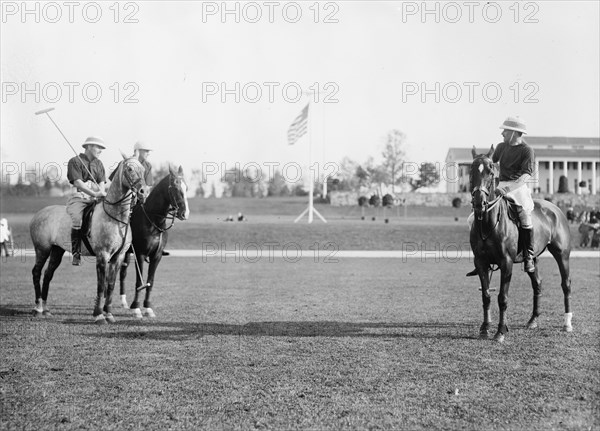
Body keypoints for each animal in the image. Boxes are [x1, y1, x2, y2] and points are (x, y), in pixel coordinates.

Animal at [29, 156, 148, 324]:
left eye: (143, 169)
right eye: (129, 169)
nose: (144, 191)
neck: (116, 218)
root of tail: (37, 214)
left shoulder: (118, 257)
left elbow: (110, 285)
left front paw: (109, 314)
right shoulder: (102, 255)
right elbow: (101, 285)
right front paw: (99, 315)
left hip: (57, 250)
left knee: (47, 274)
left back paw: (46, 309)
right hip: (42, 249)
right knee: (36, 272)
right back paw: (38, 308)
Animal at [118, 167, 189, 318]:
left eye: (187, 188)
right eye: (175, 187)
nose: (185, 214)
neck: (153, 221)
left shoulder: (157, 256)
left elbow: (150, 281)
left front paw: (148, 307)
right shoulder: (140, 254)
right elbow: (140, 281)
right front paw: (136, 308)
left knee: (122, 273)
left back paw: (123, 302)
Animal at [468, 147, 572, 342]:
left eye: (491, 171)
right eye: (471, 171)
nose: (479, 203)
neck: (488, 223)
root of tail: (555, 208)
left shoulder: (506, 262)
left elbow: (502, 297)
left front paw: (501, 331)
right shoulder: (481, 262)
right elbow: (486, 295)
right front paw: (485, 328)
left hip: (562, 254)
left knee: (566, 284)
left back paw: (567, 323)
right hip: (532, 258)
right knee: (537, 283)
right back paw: (533, 320)